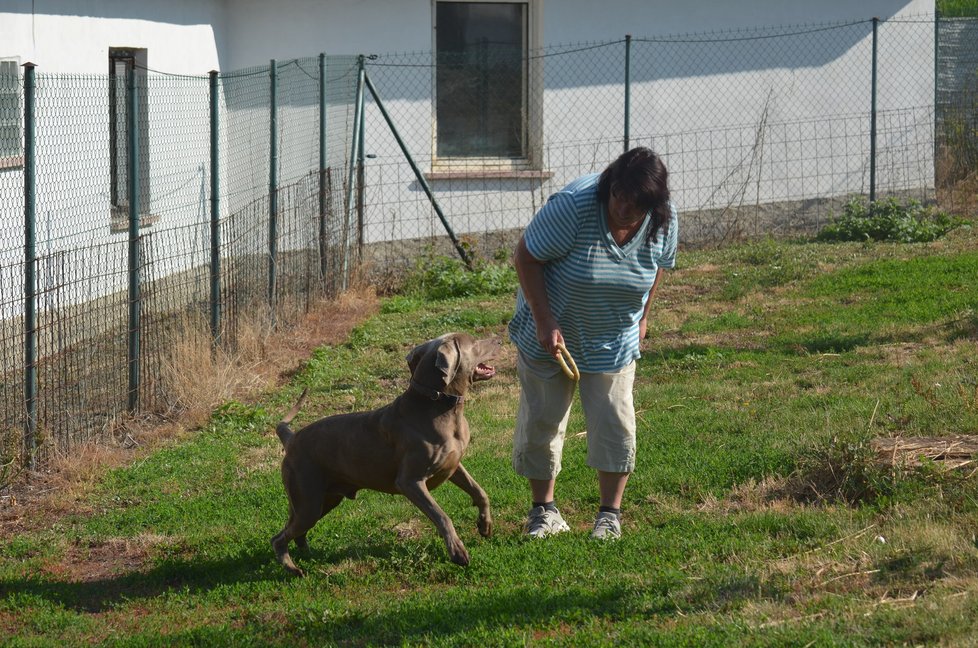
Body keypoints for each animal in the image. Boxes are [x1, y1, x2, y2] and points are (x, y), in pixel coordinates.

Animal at [270, 332, 500, 576]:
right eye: (474, 342)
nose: (499, 339)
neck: (441, 407)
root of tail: (291, 438)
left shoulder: (453, 465)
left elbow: (479, 491)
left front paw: (485, 524)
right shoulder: (410, 482)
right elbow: (441, 515)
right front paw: (457, 551)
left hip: (324, 499)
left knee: (294, 530)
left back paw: (308, 554)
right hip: (308, 500)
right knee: (279, 537)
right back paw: (292, 568)